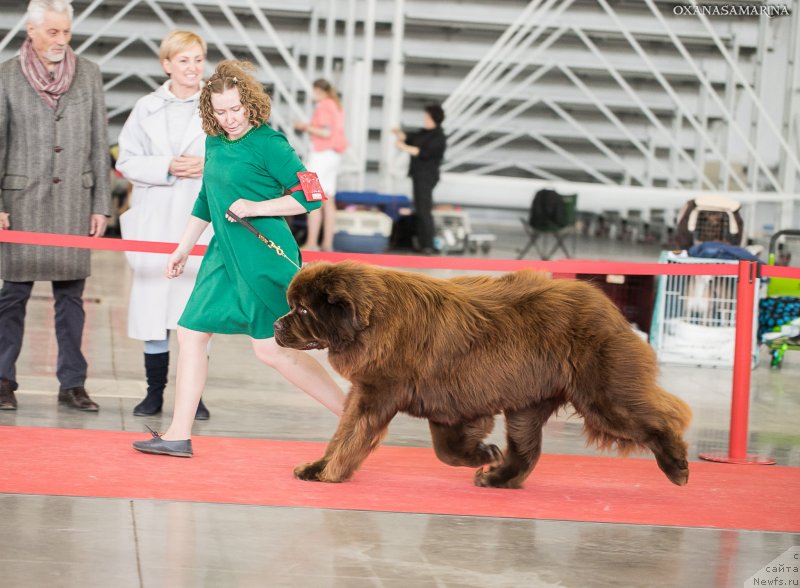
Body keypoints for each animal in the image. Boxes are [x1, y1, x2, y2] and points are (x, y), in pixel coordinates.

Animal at [274, 260, 688, 486]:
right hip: (528, 405)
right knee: (527, 450)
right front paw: (483, 454)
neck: (375, 322)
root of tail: (607, 305)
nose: (277, 326)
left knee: (662, 418)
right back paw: (497, 478)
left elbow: (351, 435)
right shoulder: (445, 405)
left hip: (604, 395)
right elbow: (444, 450)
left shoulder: (378, 392)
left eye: (304, 311)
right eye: (292, 306)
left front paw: (330, 473)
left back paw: (678, 467)